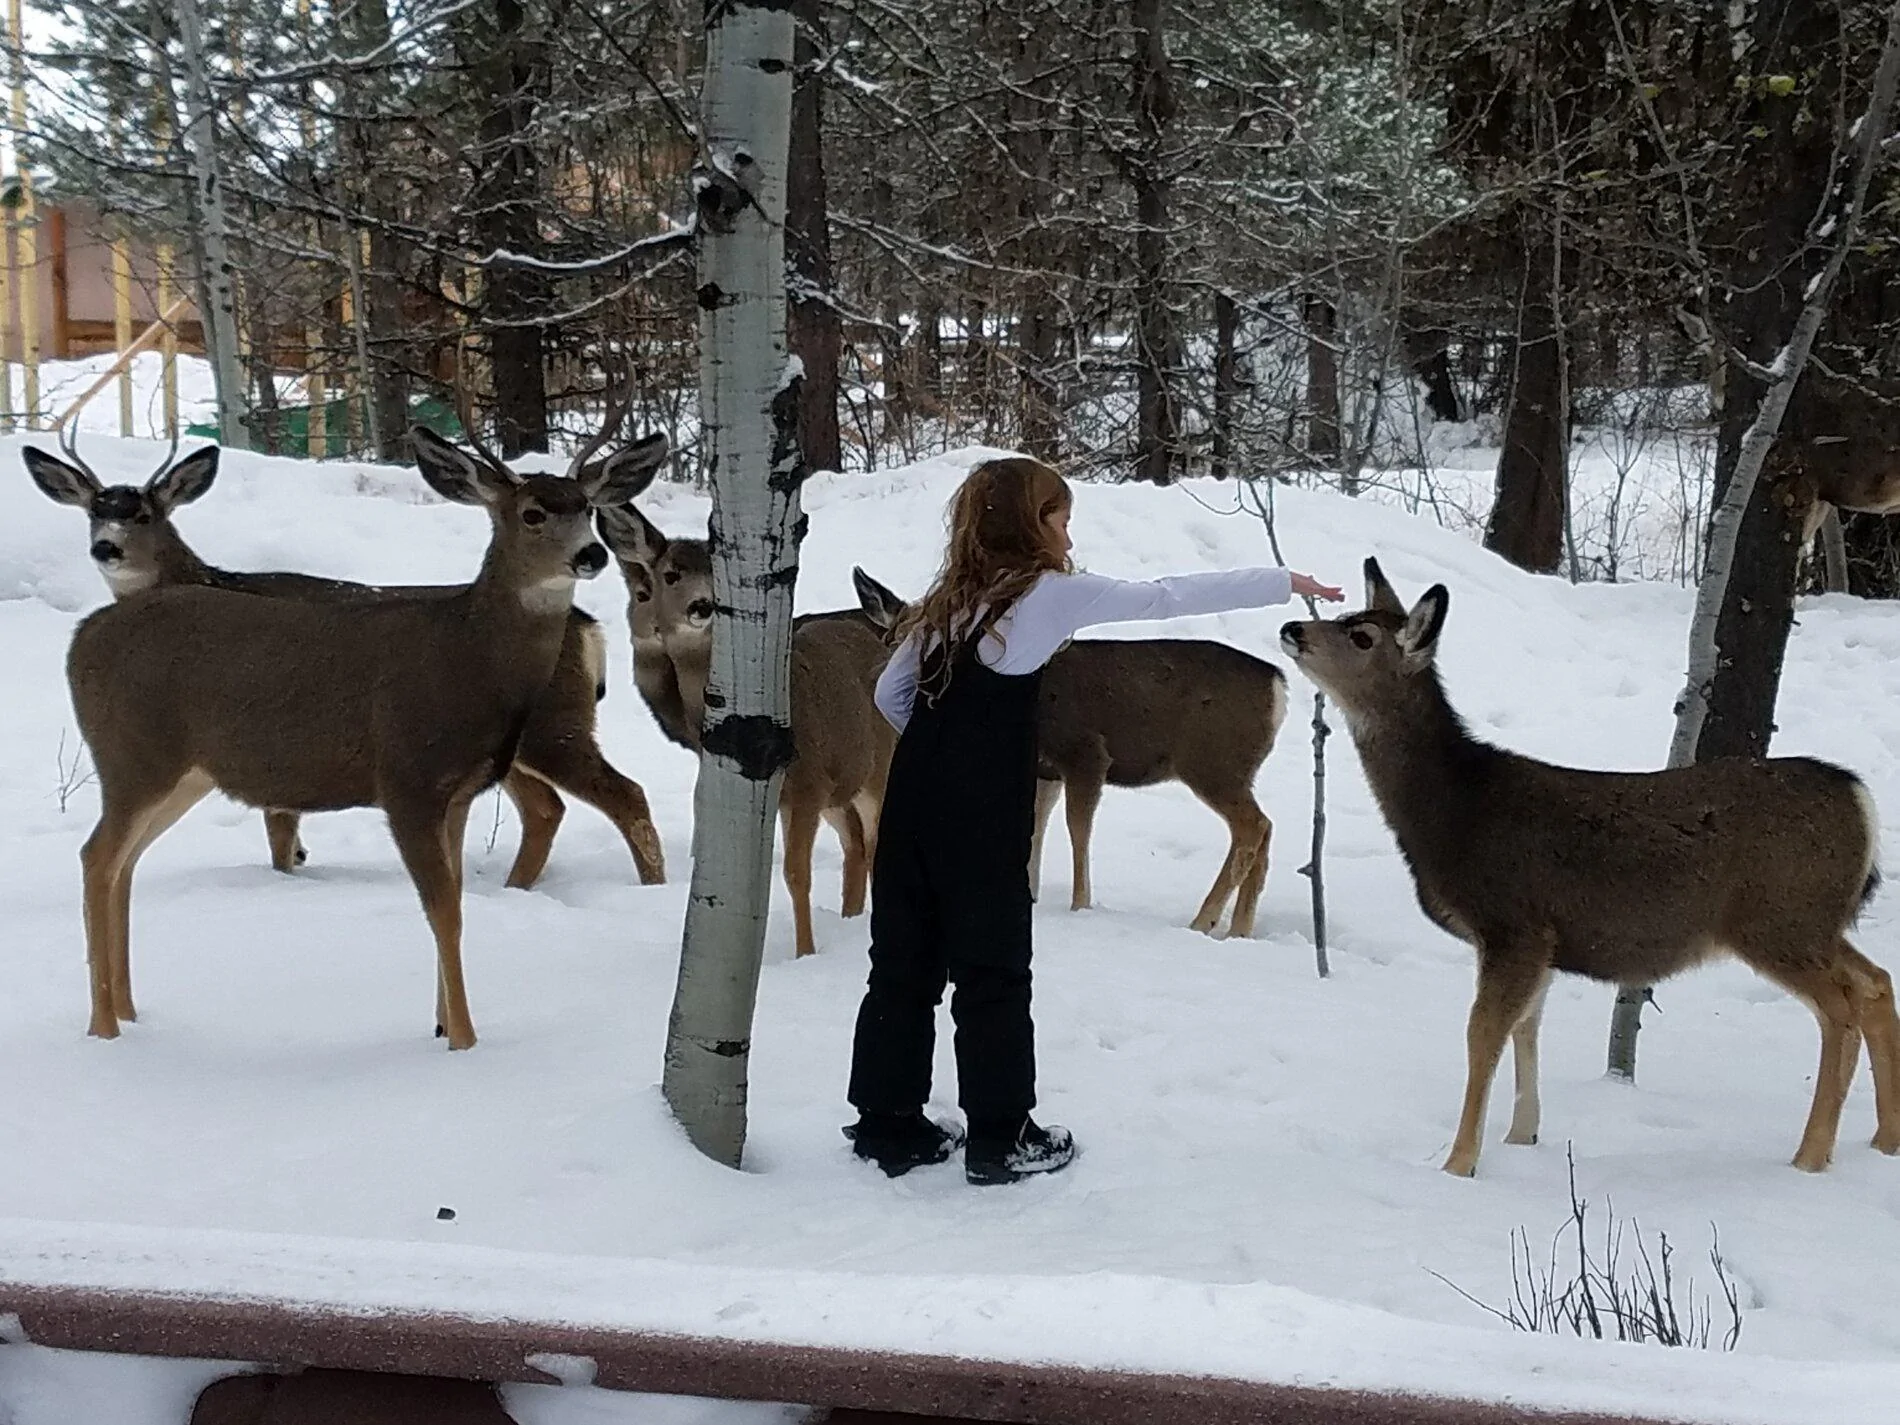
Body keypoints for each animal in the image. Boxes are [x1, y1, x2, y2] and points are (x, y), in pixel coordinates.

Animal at [62, 425, 667, 1049]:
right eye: (533, 512)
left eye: (587, 507)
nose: (591, 554)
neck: (468, 658)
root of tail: (81, 636)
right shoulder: (406, 779)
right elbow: (442, 910)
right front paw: (463, 1041)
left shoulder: (457, 792)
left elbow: (452, 901)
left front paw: (442, 1024)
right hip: (135, 756)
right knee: (97, 858)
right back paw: (104, 1027)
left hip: (179, 771)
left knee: (122, 862)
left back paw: (127, 1011)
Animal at [595, 502, 895, 958]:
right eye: (670, 574)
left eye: (716, 569)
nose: (703, 605)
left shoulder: (807, 784)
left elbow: (795, 875)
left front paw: (805, 954)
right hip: (843, 783)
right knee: (857, 845)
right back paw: (850, 919)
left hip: (878, 767)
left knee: (875, 840)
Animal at [850, 568, 1288, 939]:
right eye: (891, 638)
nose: (895, 676)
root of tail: (1278, 687)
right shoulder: (1044, 770)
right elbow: (1035, 829)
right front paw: (1031, 896)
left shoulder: (1085, 752)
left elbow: (1078, 830)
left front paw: (1080, 907)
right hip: (1231, 768)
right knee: (1264, 830)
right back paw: (1238, 930)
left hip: (1212, 761)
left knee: (1253, 826)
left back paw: (1203, 921)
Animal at [1278, 557, 1900, 1176]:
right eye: (1344, 616)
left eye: (1362, 636)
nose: (1292, 629)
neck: (1452, 810)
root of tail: (1861, 801)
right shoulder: (1542, 939)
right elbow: (1527, 1027)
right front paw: (1521, 1136)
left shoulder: (1513, 923)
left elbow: (1483, 1033)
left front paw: (1460, 1164)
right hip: (1813, 922)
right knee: (1874, 983)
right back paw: (1883, 1140)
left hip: (1775, 919)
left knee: (1839, 1010)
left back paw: (1811, 1156)